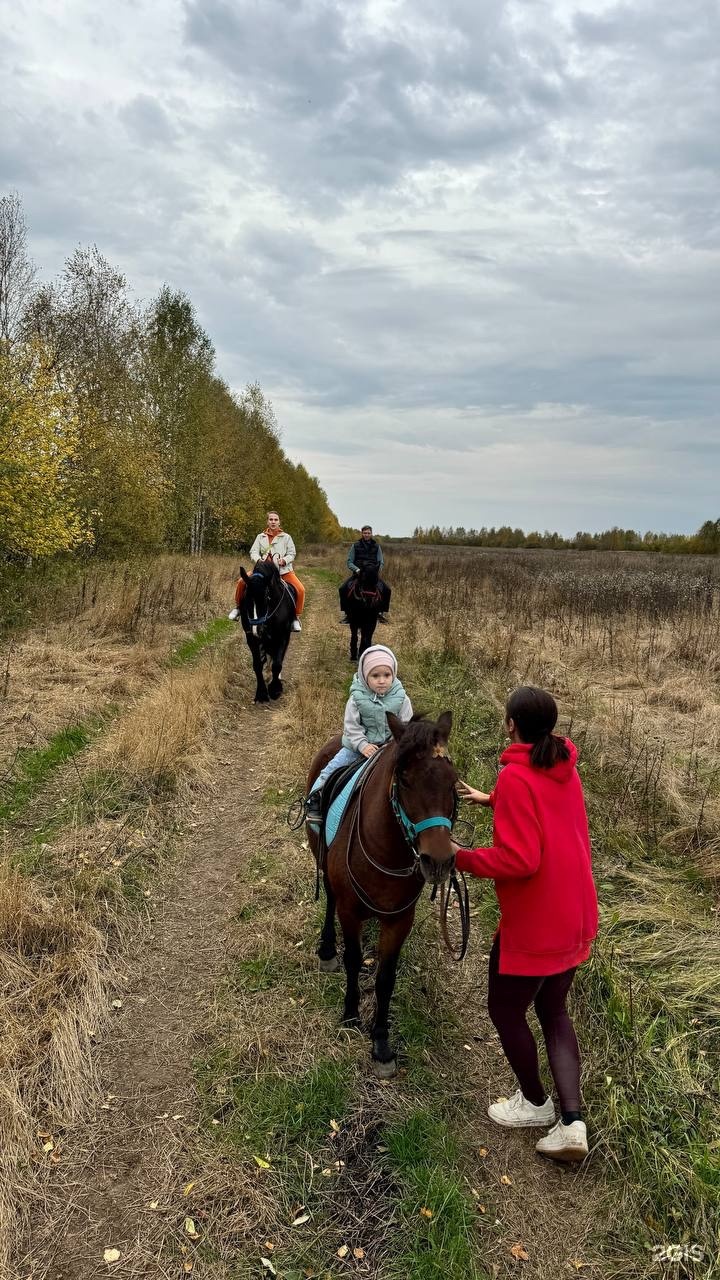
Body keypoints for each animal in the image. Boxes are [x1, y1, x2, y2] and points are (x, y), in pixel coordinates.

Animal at [238, 560, 294, 701]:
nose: (257, 630)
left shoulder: (283, 636)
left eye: (266, 597)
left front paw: (275, 689)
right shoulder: (251, 638)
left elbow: (277, 664)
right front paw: (262, 693)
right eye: (245, 598)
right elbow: (257, 664)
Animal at [302, 716, 453, 1075]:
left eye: (453, 780)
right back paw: (327, 949)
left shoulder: (400, 919)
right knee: (329, 898)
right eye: (404, 779)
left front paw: (381, 1043)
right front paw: (350, 1014)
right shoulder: (350, 910)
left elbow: (386, 978)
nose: (439, 861)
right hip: (322, 860)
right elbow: (353, 960)